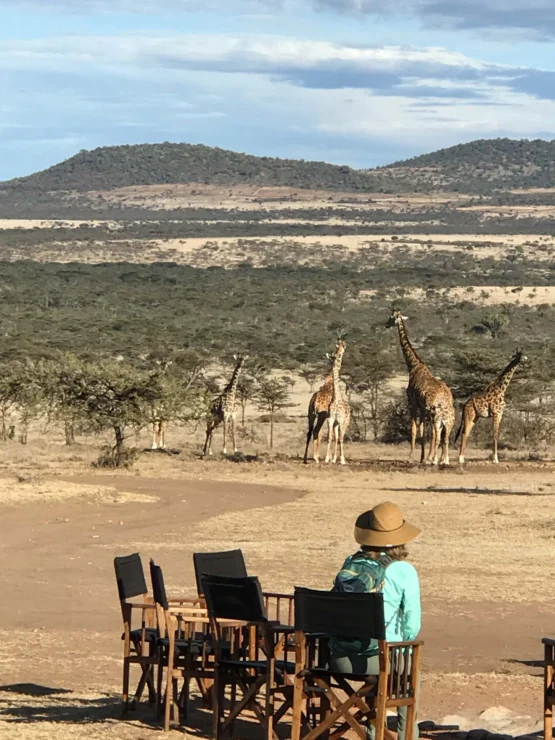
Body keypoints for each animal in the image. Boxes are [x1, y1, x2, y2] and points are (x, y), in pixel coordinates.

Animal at [386, 310, 456, 466]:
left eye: (391, 317)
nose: (386, 324)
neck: (413, 366)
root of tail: (446, 397)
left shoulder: (412, 403)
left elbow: (414, 429)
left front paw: (411, 457)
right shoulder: (422, 407)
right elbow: (423, 431)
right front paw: (422, 457)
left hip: (433, 410)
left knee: (435, 432)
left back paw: (433, 459)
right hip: (438, 412)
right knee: (442, 434)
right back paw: (441, 459)